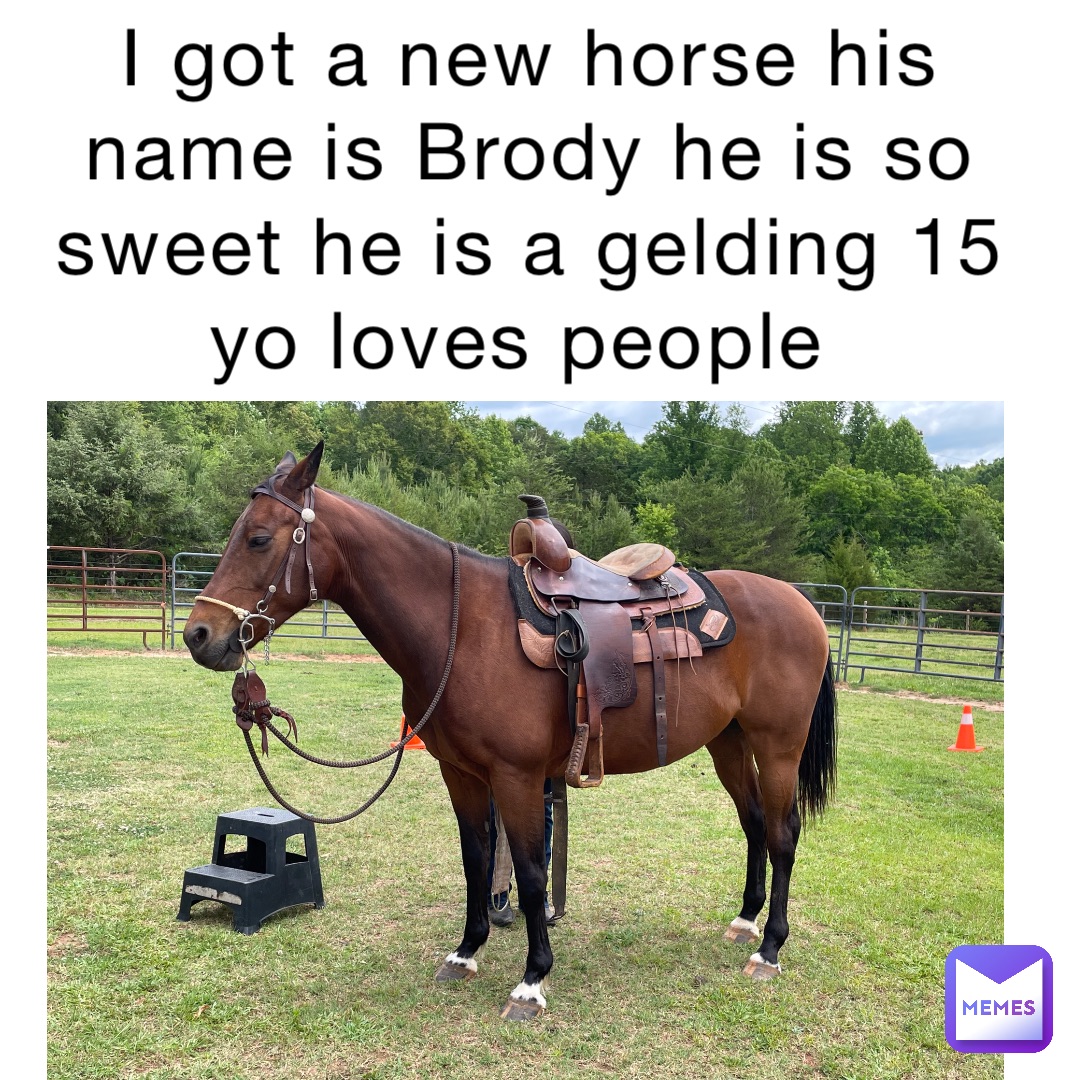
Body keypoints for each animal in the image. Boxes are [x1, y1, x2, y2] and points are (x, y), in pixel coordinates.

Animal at [183, 442, 837, 1020]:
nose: (198, 635)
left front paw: (532, 980)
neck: (464, 629)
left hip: (778, 747)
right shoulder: (462, 773)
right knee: (754, 824)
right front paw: (466, 951)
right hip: (728, 743)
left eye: (258, 538)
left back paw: (769, 948)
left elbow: (527, 871)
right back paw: (745, 922)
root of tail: (802, 604)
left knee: (783, 832)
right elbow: (477, 858)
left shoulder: (517, 777)